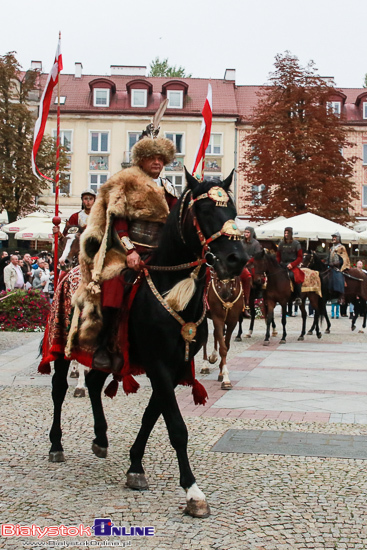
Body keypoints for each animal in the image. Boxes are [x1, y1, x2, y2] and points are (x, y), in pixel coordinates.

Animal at [46, 174, 247, 520]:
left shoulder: (172, 367)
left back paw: (101, 437)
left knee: (94, 382)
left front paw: (135, 466)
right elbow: (176, 426)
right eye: (206, 209)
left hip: (109, 356)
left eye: (232, 209)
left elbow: (151, 417)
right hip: (62, 348)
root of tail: (69, 274)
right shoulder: (158, 365)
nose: (237, 259)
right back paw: (56, 445)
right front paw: (193, 492)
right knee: (59, 388)